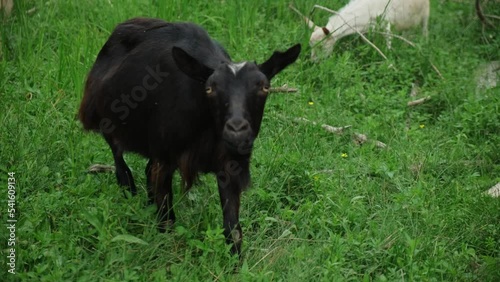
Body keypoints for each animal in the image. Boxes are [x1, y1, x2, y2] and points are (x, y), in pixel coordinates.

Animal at [292, 0, 430, 59]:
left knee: (424, 29)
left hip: (425, 13)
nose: (313, 61)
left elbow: (388, 39)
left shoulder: (386, 22)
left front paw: (389, 55)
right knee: (407, 33)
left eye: (321, 46)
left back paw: (424, 43)